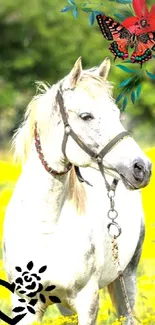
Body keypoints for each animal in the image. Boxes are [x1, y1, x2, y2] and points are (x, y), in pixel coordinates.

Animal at [3, 58, 151, 324]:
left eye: (116, 114)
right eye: (86, 116)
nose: (142, 167)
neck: (46, 227)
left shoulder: (87, 301)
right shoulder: (25, 301)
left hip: (127, 280)